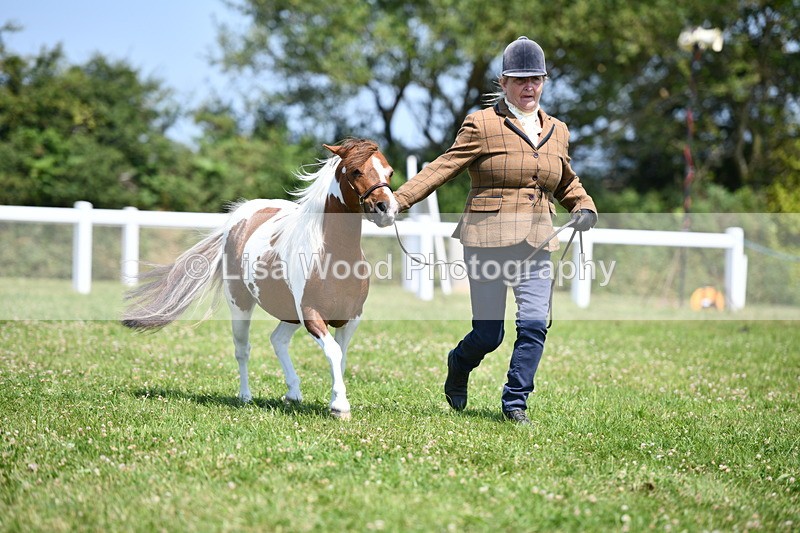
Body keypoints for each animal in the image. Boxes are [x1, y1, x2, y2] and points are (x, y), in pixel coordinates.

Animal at [122, 139, 400, 419]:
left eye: (389, 172)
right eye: (356, 171)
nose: (386, 209)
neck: (333, 257)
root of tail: (237, 220)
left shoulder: (351, 318)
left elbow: (340, 357)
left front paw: (336, 400)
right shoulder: (311, 315)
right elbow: (333, 351)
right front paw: (339, 406)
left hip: (288, 313)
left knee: (277, 340)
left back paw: (293, 393)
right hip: (241, 305)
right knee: (243, 349)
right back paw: (246, 396)